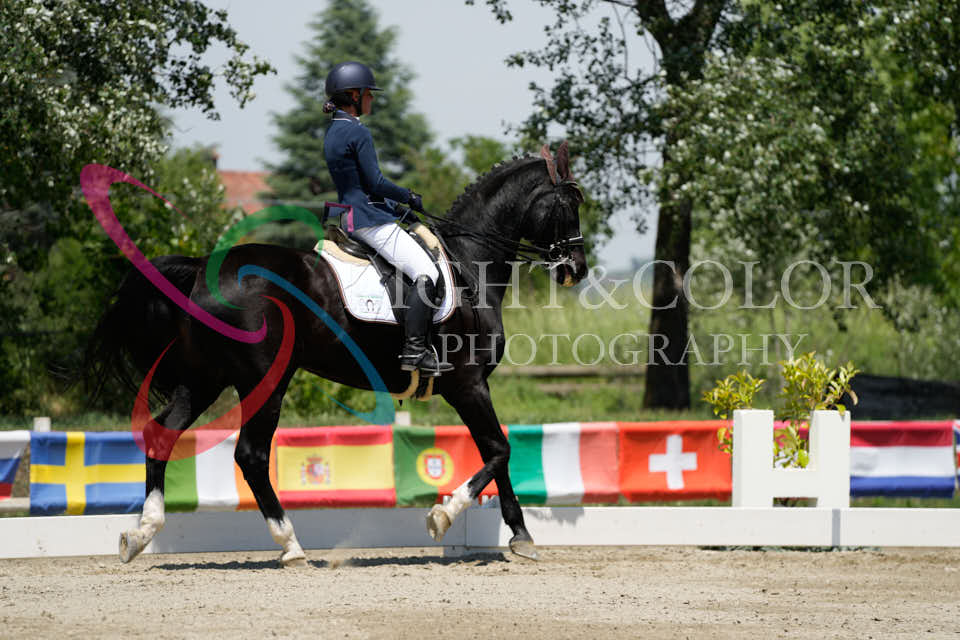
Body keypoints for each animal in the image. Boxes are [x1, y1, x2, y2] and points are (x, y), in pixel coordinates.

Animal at [82, 142, 588, 566]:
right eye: (570, 205)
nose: (577, 270)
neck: (469, 265)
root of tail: (204, 270)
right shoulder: (467, 384)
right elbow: (500, 448)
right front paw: (443, 516)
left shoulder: (468, 387)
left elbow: (495, 451)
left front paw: (521, 537)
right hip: (264, 380)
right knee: (250, 454)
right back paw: (290, 545)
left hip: (205, 377)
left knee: (162, 435)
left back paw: (141, 534)